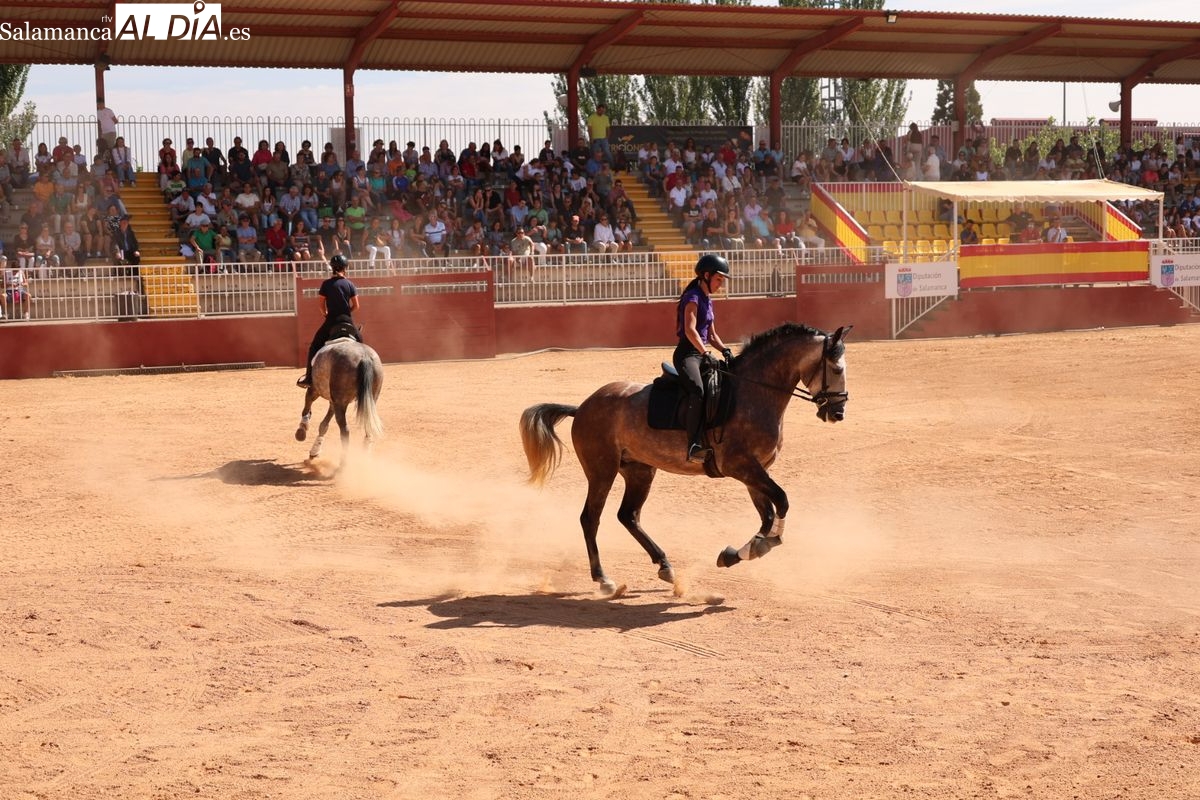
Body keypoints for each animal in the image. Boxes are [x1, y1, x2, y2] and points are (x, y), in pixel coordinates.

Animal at [295, 338, 385, 466]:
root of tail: (364, 357)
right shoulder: (334, 402)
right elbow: (323, 425)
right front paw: (314, 452)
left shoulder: (315, 390)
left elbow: (307, 407)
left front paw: (301, 431)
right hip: (370, 400)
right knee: (368, 427)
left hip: (339, 402)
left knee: (345, 431)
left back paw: (343, 462)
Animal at [519, 323, 851, 595]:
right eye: (836, 369)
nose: (837, 413)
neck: (752, 392)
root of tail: (583, 407)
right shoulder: (742, 467)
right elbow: (781, 501)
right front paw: (757, 547)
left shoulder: (755, 471)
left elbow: (767, 516)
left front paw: (740, 552)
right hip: (602, 471)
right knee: (591, 518)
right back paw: (604, 579)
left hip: (640, 471)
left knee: (628, 515)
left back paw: (665, 566)